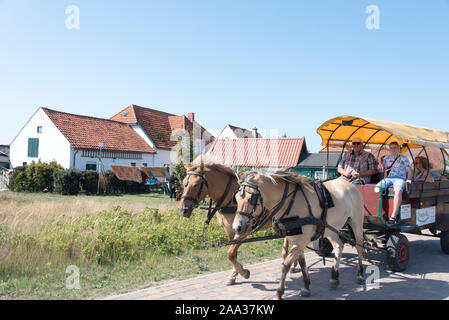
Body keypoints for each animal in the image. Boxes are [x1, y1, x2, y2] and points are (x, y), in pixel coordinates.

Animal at [231, 171, 364, 298]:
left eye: (251, 199)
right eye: (236, 198)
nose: (236, 227)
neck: (290, 202)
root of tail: (349, 184)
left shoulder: (301, 241)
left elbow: (285, 265)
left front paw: (279, 293)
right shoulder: (296, 240)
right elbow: (302, 263)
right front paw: (306, 286)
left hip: (356, 224)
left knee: (359, 247)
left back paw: (360, 274)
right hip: (331, 228)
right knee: (339, 246)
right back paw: (335, 276)